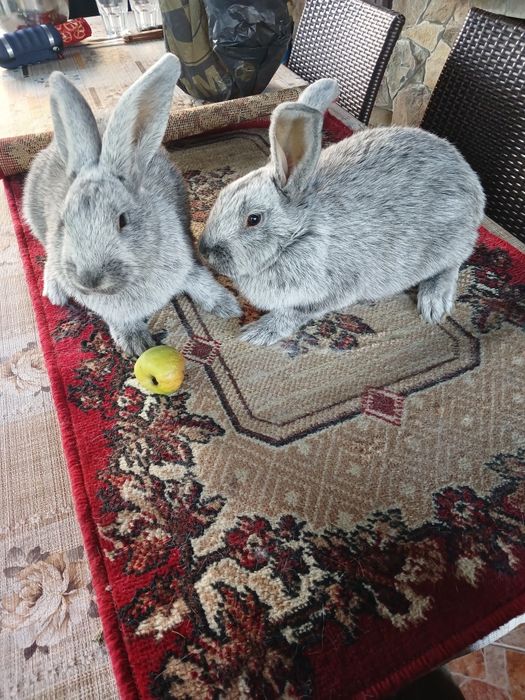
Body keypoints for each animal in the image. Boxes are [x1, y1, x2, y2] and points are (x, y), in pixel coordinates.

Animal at [22, 53, 241, 356]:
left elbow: (200, 280)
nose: (89, 279)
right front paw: (136, 342)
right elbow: (120, 319)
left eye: (122, 220)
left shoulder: (187, 264)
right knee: (48, 260)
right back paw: (55, 292)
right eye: (64, 223)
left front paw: (228, 306)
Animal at [198, 78, 485, 347]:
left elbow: (295, 312)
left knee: (453, 264)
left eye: (253, 219)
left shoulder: (334, 290)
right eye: (222, 194)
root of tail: (467, 173)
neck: (299, 235)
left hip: (449, 242)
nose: (204, 250)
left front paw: (258, 332)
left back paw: (433, 303)